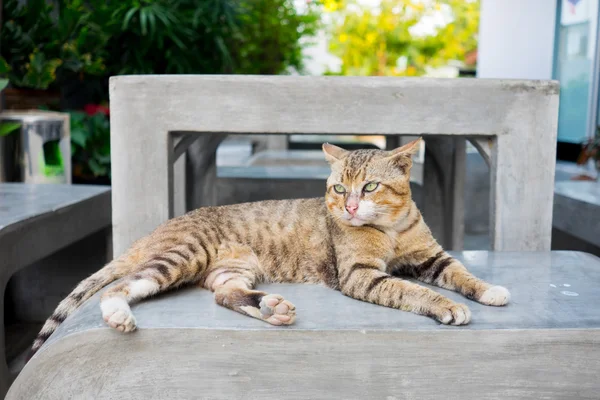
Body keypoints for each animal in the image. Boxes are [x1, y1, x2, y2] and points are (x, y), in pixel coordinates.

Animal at [29, 139, 510, 358]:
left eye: (370, 187)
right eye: (338, 189)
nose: (349, 207)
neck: (389, 228)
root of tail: (157, 230)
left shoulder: (431, 256)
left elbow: (461, 272)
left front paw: (488, 290)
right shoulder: (360, 273)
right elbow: (412, 289)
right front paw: (446, 306)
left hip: (233, 268)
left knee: (224, 294)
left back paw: (269, 308)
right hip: (181, 255)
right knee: (120, 286)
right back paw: (118, 314)